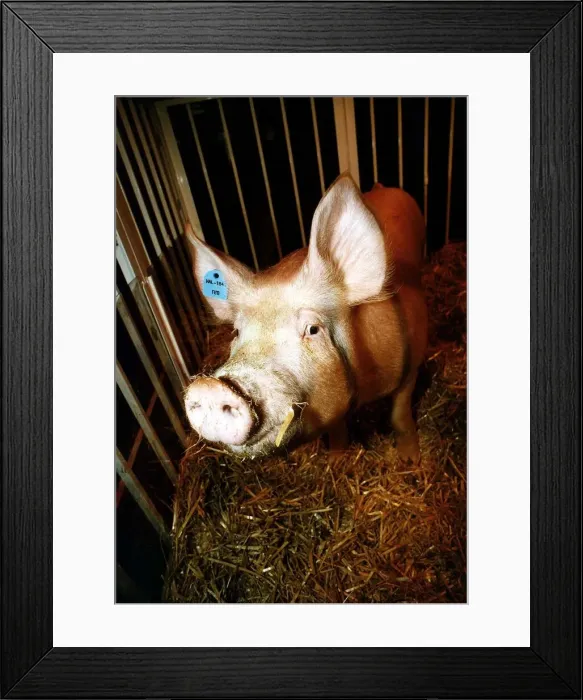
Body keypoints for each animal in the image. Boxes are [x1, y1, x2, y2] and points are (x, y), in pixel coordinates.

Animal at [184, 174, 428, 463]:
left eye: (313, 329)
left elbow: (399, 415)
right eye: (236, 332)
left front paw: (411, 459)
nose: (208, 387)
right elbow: (337, 428)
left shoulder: (412, 362)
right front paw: (335, 461)